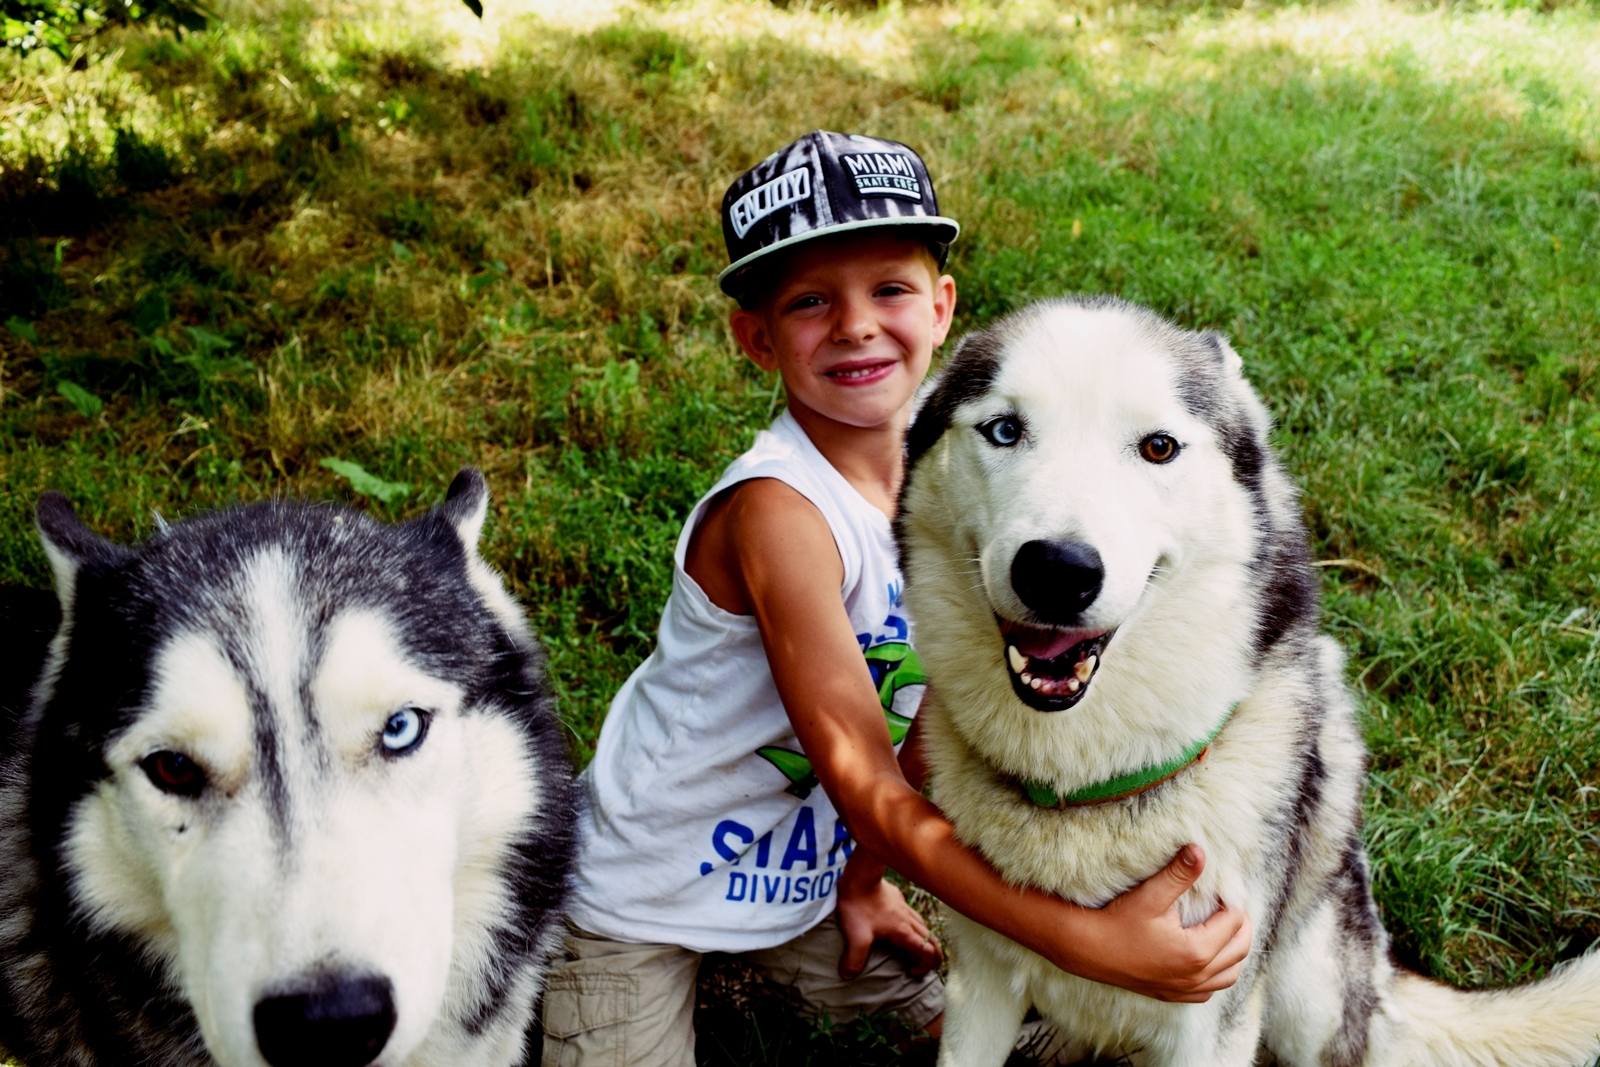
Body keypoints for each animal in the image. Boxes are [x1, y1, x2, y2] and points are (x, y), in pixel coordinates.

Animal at [895, 297, 1600, 1067]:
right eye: (1004, 430)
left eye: (1159, 447)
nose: (1057, 570)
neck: (1082, 785)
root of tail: (1381, 973)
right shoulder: (977, 982)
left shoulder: (1212, 1015)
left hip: (1307, 989)